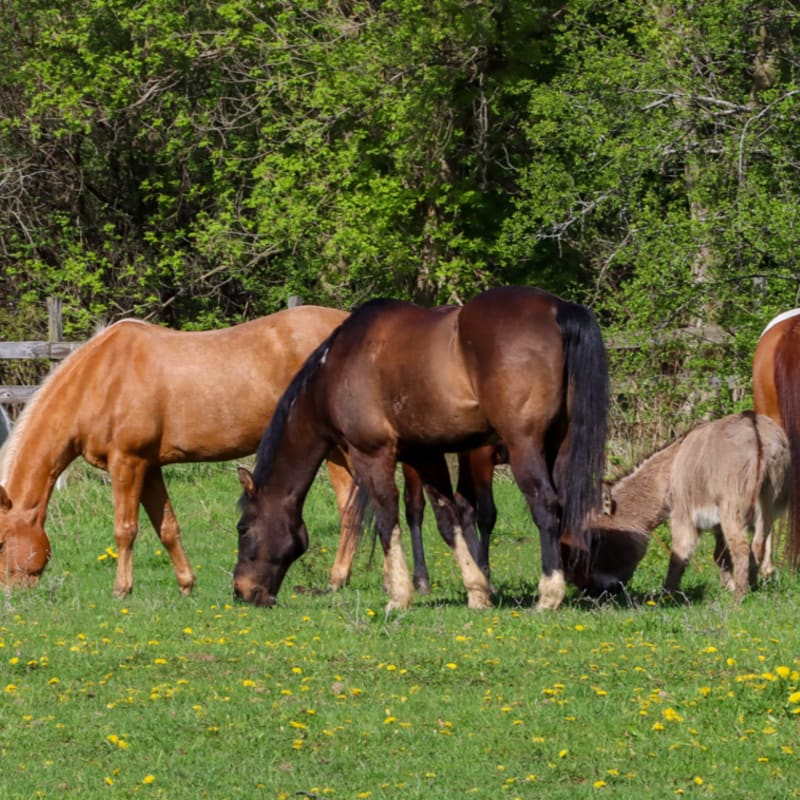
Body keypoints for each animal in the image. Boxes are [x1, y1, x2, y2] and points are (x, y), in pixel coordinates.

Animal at [0, 305, 356, 596]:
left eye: (2, 541)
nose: (10, 596)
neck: (100, 380)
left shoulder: (126, 463)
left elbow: (125, 529)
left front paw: (121, 589)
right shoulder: (148, 467)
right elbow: (167, 528)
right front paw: (186, 585)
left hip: (338, 449)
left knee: (351, 508)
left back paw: (338, 579)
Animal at [234, 285, 609, 611]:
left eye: (243, 528)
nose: (242, 591)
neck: (340, 367)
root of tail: (558, 309)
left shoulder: (371, 455)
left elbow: (386, 519)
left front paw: (398, 596)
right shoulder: (423, 455)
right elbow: (447, 519)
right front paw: (477, 592)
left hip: (524, 446)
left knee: (545, 504)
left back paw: (549, 595)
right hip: (559, 445)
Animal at [563, 412, 791, 600]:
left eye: (595, 541)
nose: (590, 593)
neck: (668, 472)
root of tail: (758, 437)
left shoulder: (683, 515)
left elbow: (679, 555)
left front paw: (666, 596)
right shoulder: (718, 524)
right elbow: (720, 556)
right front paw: (730, 585)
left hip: (732, 508)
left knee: (743, 547)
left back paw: (739, 599)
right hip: (770, 506)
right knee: (759, 544)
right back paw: (753, 585)